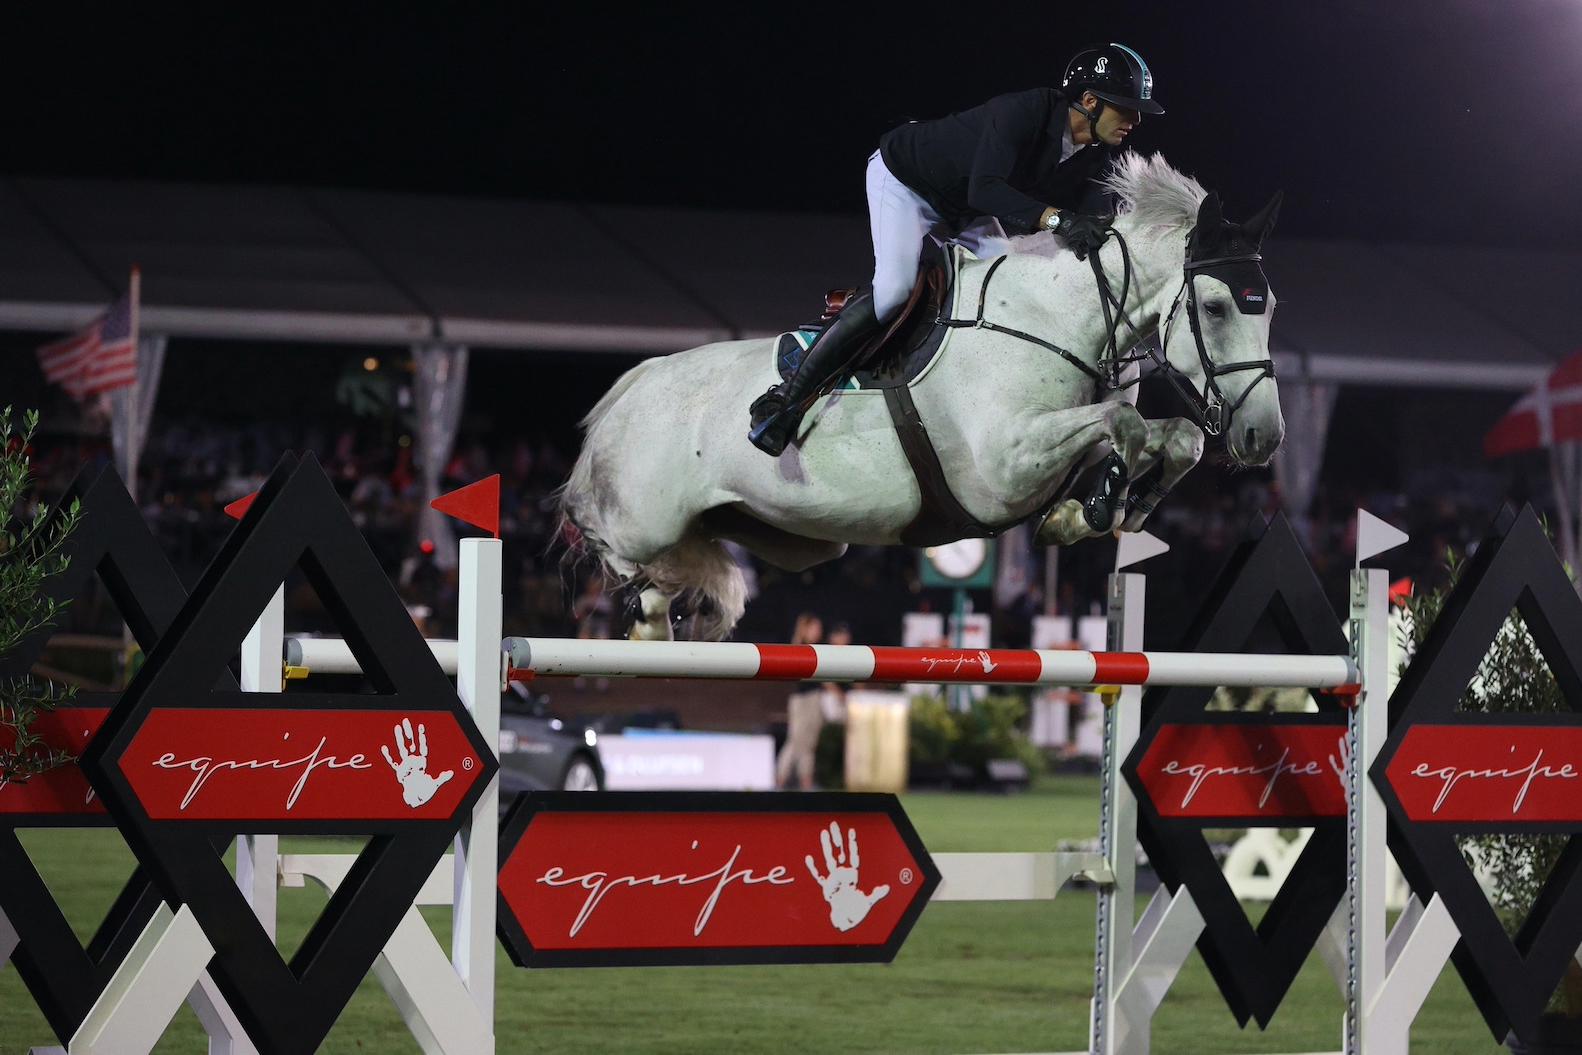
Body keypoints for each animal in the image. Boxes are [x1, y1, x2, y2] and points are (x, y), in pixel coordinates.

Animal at [556, 152, 1284, 639]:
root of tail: (634, 383)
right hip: (641, 520)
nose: (1263, 437)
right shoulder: (1003, 468)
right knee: (609, 544)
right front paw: (1098, 505)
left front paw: (1110, 505)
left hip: (790, 537)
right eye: (1216, 307)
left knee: (676, 574)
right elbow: (1123, 420)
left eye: (1270, 307)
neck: (1057, 319)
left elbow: (1168, 435)